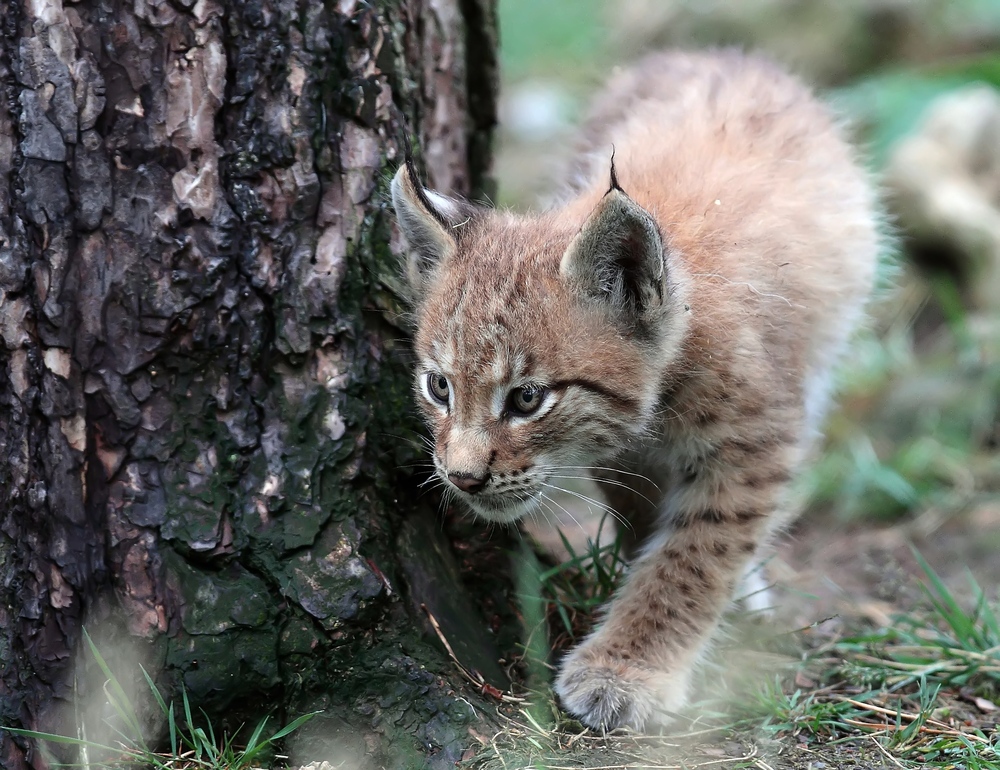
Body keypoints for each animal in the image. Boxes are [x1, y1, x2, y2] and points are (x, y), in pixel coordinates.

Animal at [394, 51, 880, 728]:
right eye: (439, 387)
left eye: (526, 399)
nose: (462, 479)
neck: (664, 388)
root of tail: (714, 52)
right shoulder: (625, 448)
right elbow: (648, 515)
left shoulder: (755, 443)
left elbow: (694, 555)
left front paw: (624, 670)